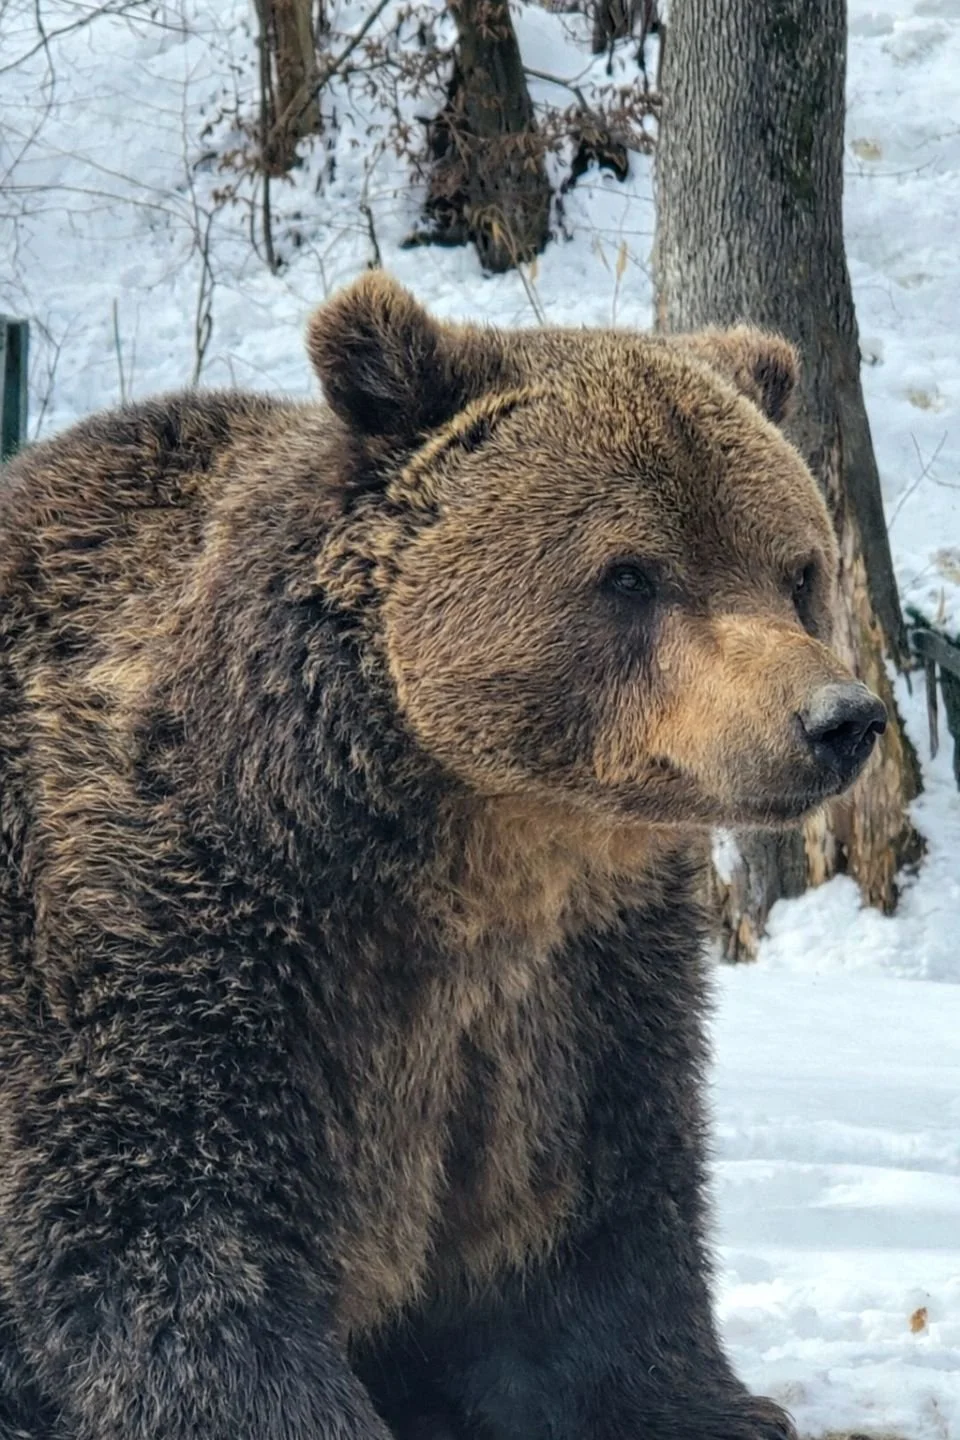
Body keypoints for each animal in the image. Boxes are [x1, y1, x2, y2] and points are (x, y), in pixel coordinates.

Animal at [0, 273, 886, 1440]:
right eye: (632, 573)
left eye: (797, 570)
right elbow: (170, 1236)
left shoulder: (577, 991)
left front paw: (709, 1404)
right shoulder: (173, 936)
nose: (838, 717)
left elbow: (589, 1226)